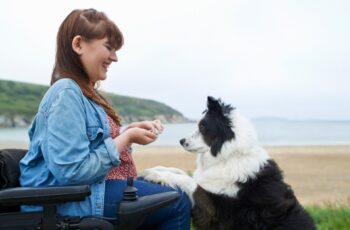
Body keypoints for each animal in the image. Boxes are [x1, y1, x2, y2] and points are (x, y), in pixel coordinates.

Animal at [141, 97, 316, 230]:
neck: (228, 156)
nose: (181, 141)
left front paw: (156, 175)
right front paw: (157, 169)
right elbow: (181, 171)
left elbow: (190, 181)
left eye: (203, 126)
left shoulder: (216, 211)